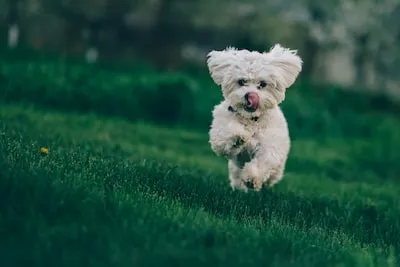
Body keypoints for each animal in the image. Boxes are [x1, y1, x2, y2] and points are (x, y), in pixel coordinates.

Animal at [206, 44, 304, 193]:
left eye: (262, 84)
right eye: (241, 81)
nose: (250, 95)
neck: (251, 120)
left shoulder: (270, 146)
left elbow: (264, 161)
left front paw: (252, 178)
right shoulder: (220, 131)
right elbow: (225, 137)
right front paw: (237, 136)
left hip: (277, 171)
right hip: (235, 169)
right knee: (237, 177)